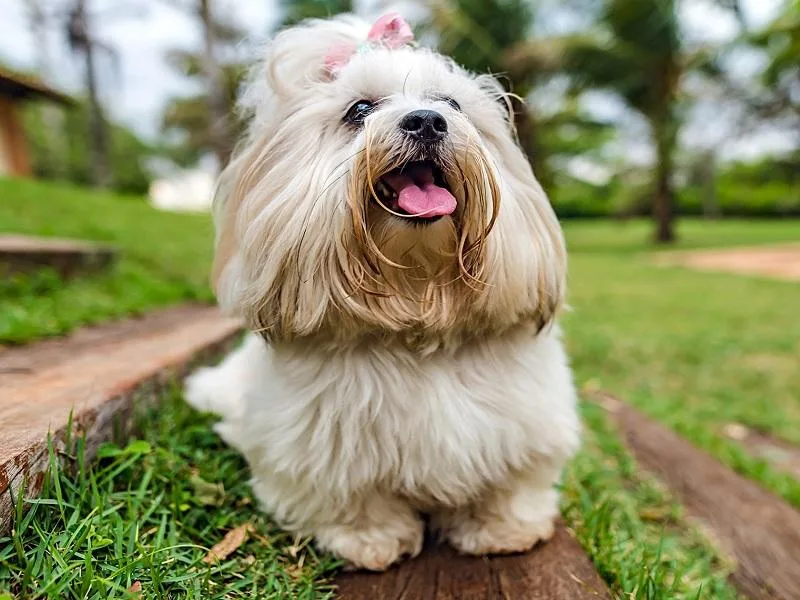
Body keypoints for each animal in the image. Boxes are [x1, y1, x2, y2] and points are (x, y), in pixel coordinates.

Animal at [184, 11, 580, 568]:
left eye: (452, 104)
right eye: (360, 110)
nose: (426, 121)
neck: (416, 308)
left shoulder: (523, 428)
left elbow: (508, 485)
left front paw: (502, 529)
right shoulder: (322, 450)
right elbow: (351, 499)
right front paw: (372, 540)